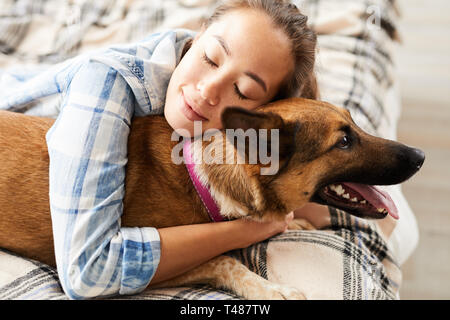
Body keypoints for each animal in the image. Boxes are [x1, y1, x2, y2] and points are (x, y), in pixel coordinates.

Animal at [0, 99, 424, 298]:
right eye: (344, 142)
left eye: (354, 126)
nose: (420, 156)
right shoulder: (142, 265)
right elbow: (224, 260)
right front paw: (271, 289)